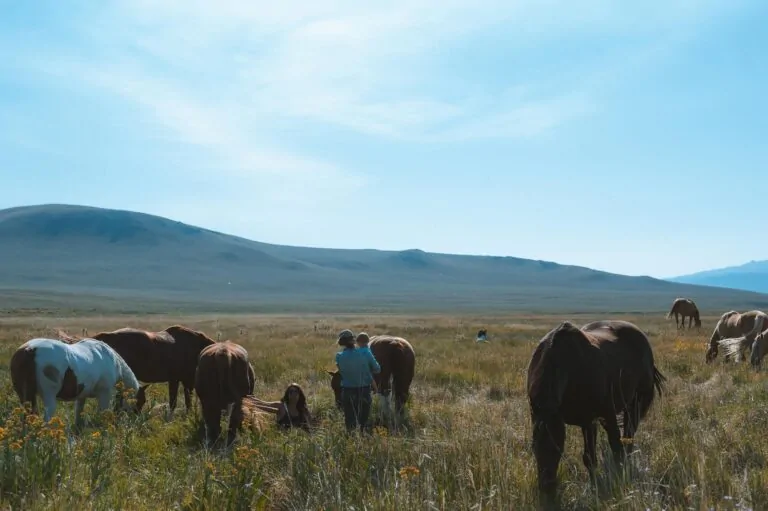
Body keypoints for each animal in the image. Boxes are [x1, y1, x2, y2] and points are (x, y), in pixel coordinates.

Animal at [10, 337, 147, 429]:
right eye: (142, 401)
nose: (136, 420)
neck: (112, 360)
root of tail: (30, 350)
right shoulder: (105, 393)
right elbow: (102, 413)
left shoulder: (81, 396)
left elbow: (78, 413)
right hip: (48, 397)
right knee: (47, 419)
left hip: (25, 398)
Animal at [526, 320, 666, 502]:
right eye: (534, 447)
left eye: (558, 448)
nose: (547, 489)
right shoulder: (587, 421)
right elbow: (589, 458)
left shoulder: (604, 415)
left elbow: (615, 448)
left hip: (635, 404)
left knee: (628, 438)